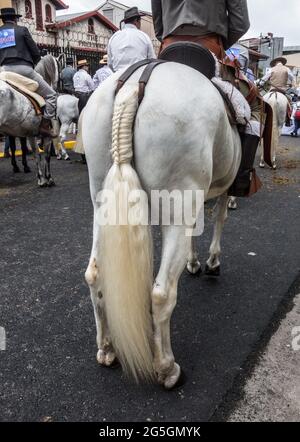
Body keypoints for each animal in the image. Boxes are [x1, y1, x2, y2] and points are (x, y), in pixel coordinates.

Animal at [82, 64, 241, 388]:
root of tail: (133, 85)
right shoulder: (218, 191)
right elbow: (219, 219)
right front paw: (211, 262)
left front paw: (195, 262)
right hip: (176, 205)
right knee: (162, 293)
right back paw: (167, 368)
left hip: (101, 204)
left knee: (94, 275)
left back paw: (106, 348)